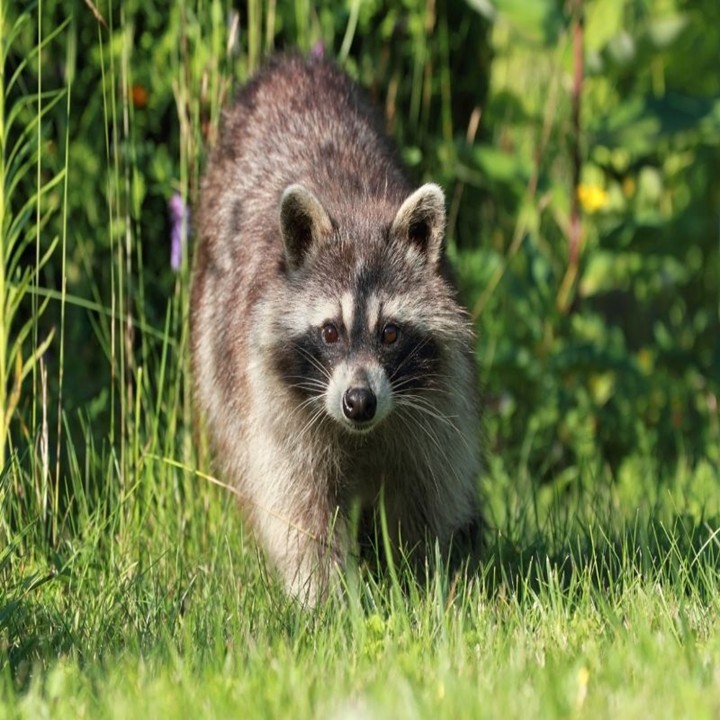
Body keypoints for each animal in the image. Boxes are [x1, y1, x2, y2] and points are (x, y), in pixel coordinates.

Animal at [191, 55, 482, 604]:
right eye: (329, 332)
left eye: (390, 333)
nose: (358, 401)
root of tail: (293, 62)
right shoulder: (277, 406)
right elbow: (298, 505)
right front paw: (324, 596)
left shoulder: (435, 408)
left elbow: (428, 493)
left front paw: (424, 581)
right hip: (214, 330)